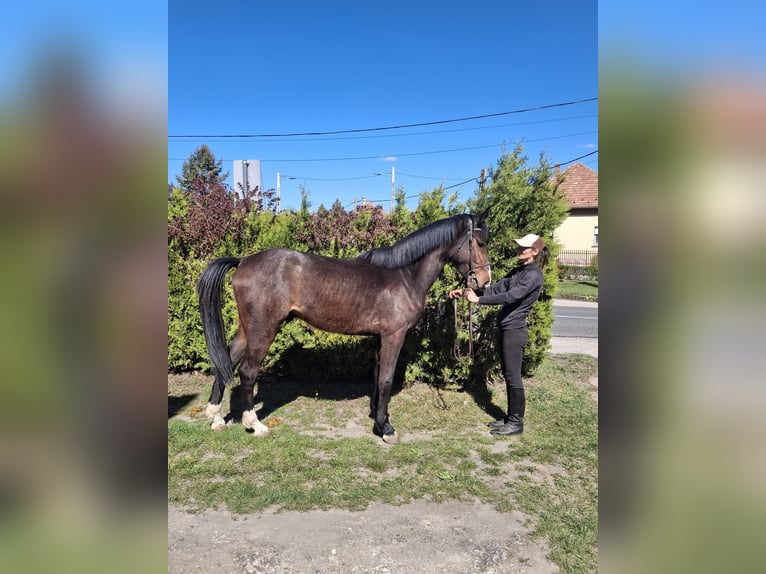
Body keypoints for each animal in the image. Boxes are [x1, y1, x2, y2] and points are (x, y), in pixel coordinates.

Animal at [196, 210, 491, 444]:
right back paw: (254, 424)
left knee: (227, 360)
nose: (484, 281)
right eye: (479, 242)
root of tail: (243, 261)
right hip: (264, 329)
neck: (403, 276)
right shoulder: (393, 336)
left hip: (247, 329)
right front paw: (386, 429)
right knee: (247, 371)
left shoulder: (380, 338)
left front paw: (378, 418)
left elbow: (377, 377)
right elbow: (386, 378)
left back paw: (216, 418)